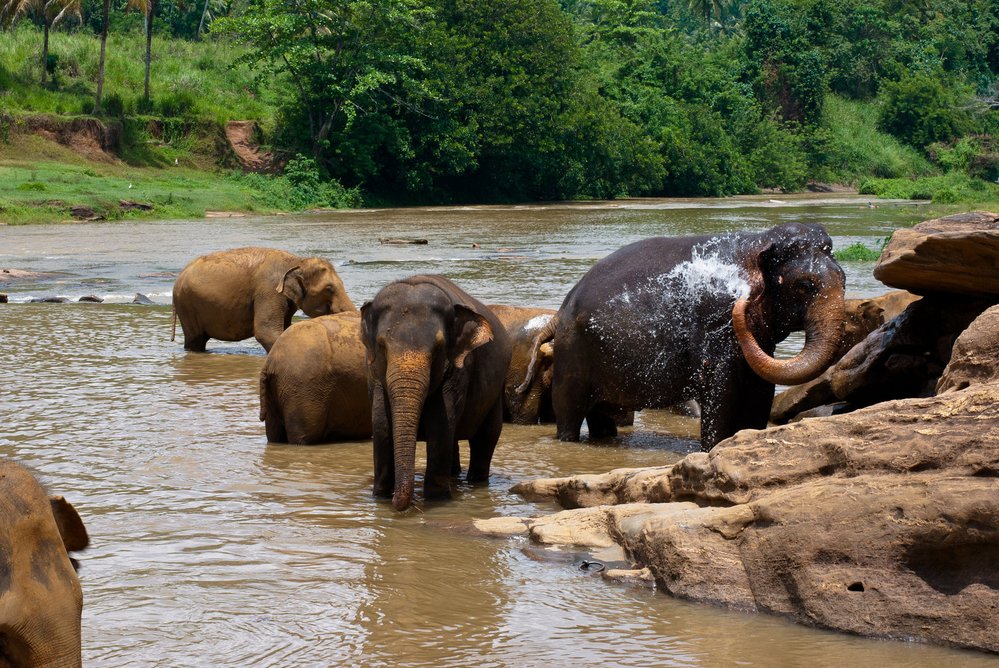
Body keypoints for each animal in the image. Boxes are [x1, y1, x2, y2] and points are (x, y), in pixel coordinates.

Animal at [174, 248, 358, 354]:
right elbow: (266, 332)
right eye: (329, 289)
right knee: (196, 340)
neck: (297, 261)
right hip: (186, 305)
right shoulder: (268, 291)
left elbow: (284, 329)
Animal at [362, 274, 516, 508]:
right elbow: (381, 426)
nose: (400, 503)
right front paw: (380, 497)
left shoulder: (458, 370)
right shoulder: (373, 373)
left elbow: (440, 424)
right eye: (381, 345)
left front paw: (436, 500)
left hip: (495, 391)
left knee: (486, 437)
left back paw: (475, 483)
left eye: (438, 348)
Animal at [524, 222, 844, 452]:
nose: (742, 303)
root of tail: (559, 313)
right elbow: (721, 389)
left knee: (602, 415)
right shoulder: (715, 320)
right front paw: (712, 449)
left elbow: (760, 388)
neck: (758, 243)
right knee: (569, 414)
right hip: (572, 353)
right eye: (805, 286)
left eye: (843, 279)